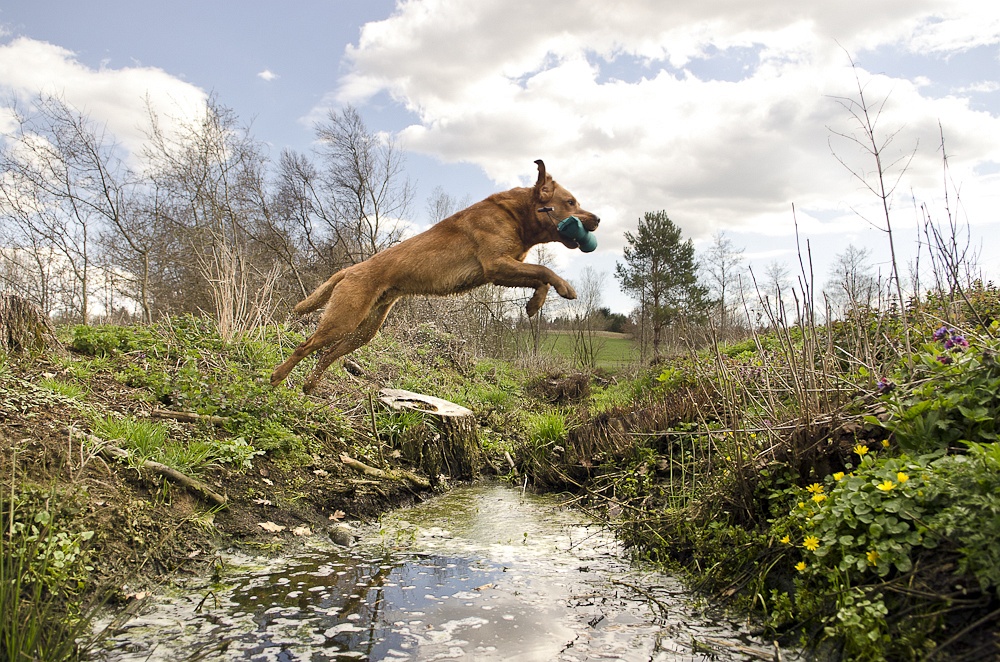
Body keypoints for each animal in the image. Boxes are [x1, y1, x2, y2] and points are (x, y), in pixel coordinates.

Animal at [272, 158, 600, 392]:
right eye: (571, 202)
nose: (597, 218)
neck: (516, 214)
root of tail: (349, 270)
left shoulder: (504, 269)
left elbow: (540, 277)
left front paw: (534, 305)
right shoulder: (496, 264)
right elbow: (545, 270)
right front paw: (565, 288)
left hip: (365, 330)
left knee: (328, 355)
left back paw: (309, 385)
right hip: (343, 319)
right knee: (305, 346)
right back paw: (277, 376)